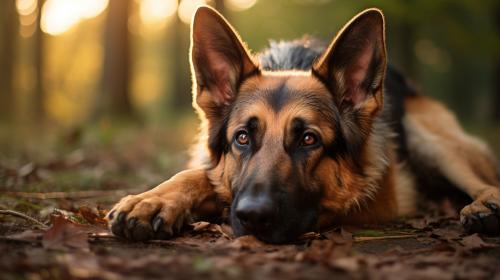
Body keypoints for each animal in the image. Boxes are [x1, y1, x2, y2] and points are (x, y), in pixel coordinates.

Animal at [108, 6, 500, 243]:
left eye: (309, 139)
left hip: (431, 143)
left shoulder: (376, 199)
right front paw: (152, 200)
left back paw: (485, 206)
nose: (252, 216)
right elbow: (198, 174)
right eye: (242, 138)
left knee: (482, 180)